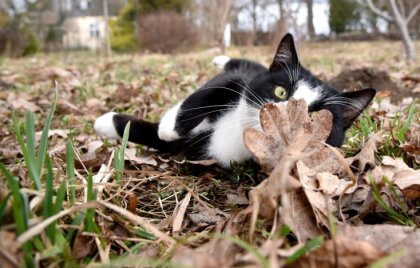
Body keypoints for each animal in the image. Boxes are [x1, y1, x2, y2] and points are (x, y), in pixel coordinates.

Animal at [93, 33, 376, 168]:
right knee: (234, 64)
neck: (237, 130)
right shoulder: (240, 80)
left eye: (315, 117)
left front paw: (107, 122)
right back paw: (220, 58)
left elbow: (157, 139)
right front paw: (169, 125)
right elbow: (209, 90)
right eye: (281, 92)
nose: (286, 115)